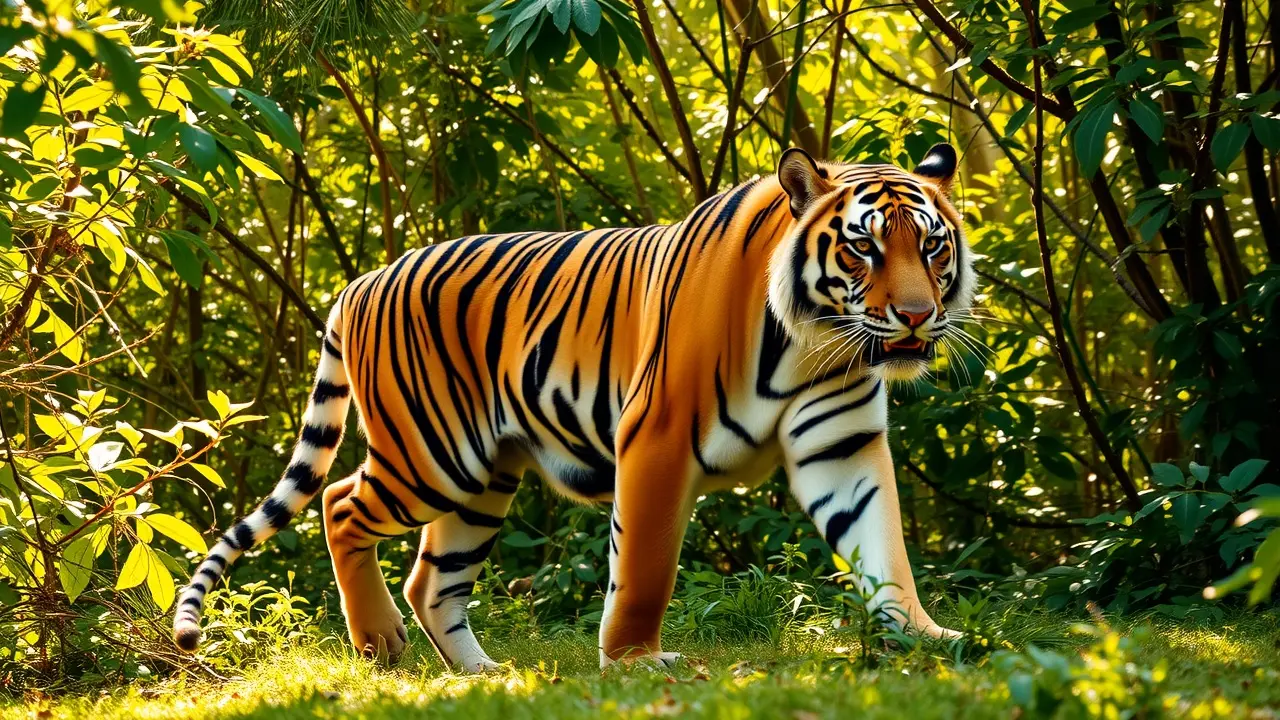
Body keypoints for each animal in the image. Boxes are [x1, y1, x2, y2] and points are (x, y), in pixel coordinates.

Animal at [172, 143, 973, 671]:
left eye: (933, 249)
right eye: (865, 249)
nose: (915, 317)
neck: (815, 341)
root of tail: (361, 280)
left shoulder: (841, 444)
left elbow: (882, 542)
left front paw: (926, 635)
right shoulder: (657, 437)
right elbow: (645, 566)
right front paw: (635, 658)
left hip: (483, 477)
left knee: (432, 578)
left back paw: (481, 674)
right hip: (433, 456)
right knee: (339, 503)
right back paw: (379, 643)